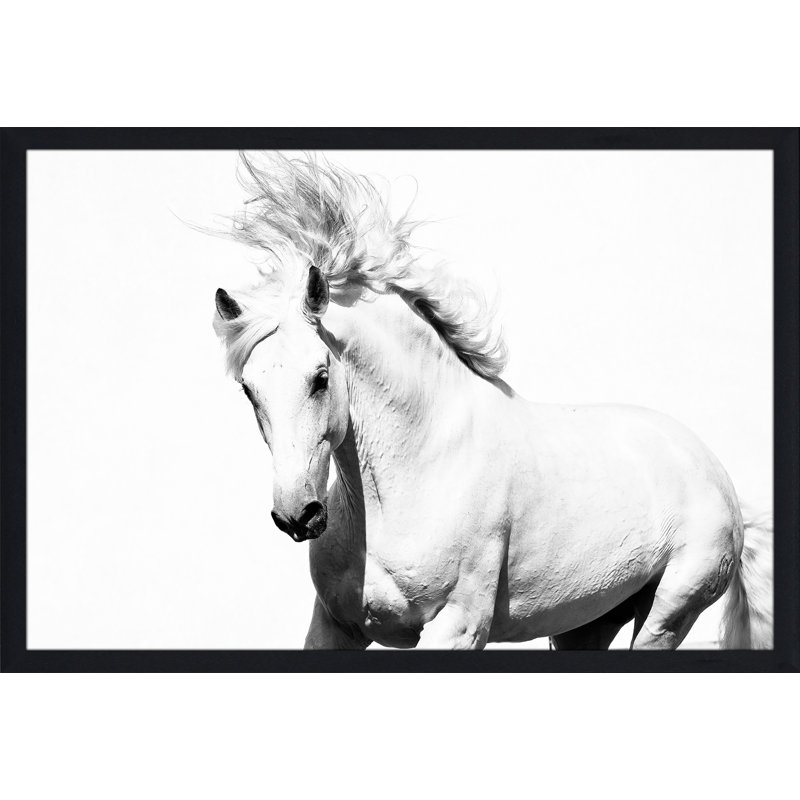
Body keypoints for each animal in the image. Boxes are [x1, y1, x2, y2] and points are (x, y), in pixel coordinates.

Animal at [212, 152, 773, 650]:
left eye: (321, 377)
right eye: (249, 389)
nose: (297, 515)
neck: (416, 469)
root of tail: (712, 469)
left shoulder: (456, 627)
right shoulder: (335, 627)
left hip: (668, 614)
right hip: (583, 626)